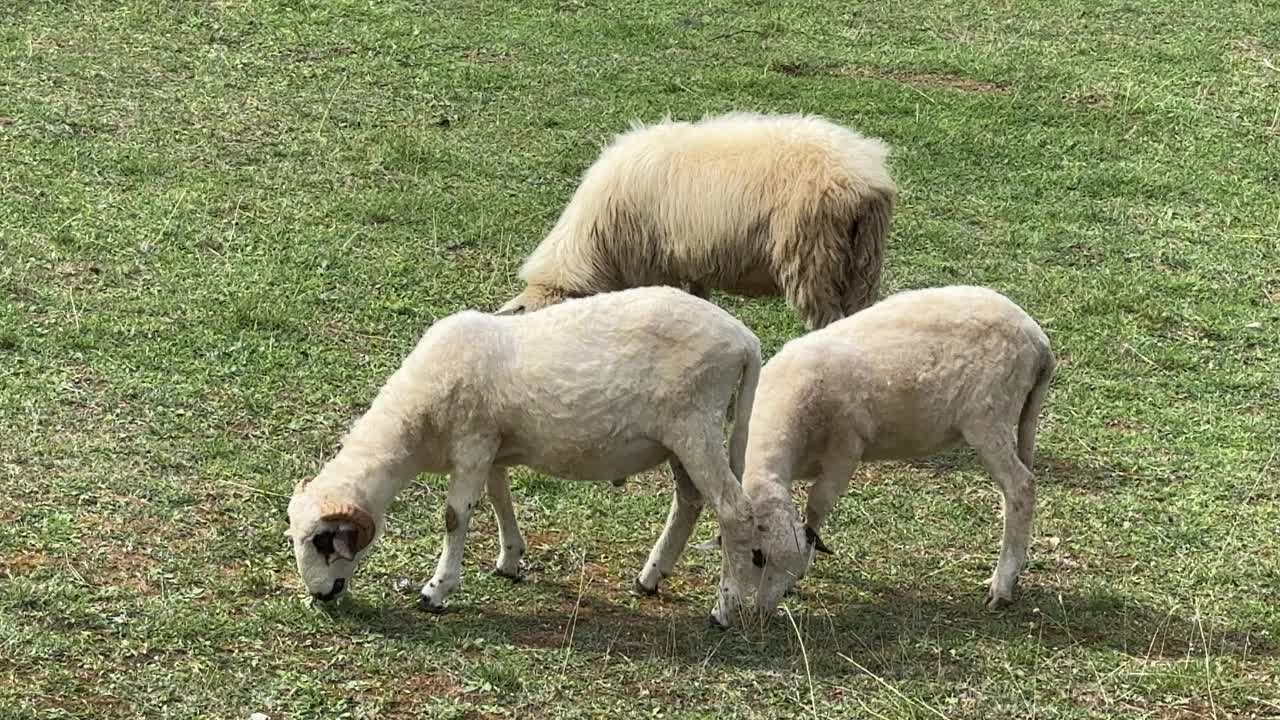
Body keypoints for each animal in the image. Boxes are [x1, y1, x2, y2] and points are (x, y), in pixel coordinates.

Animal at [285, 285, 757, 609]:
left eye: (323, 543)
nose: (321, 597)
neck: (415, 421)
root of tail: (743, 338)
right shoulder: (493, 449)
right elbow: (499, 499)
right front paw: (509, 560)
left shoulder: (473, 444)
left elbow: (454, 517)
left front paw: (436, 590)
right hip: (679, 439)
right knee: (690, 502)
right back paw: (650, 578)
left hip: (696, 427)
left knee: (733, 510)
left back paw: (725, 606)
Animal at [494, 110, 896, 330]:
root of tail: (862, 175)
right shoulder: (691, 262)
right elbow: (700, 300)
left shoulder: (651, 268)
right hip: (864, 259)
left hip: (814, 257)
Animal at [706, 283, 1054, 625]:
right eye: (757, 557)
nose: (762, 615)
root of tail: (1037, 338)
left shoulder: (845, 450)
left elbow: (817, 506)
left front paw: (806, 564)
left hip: (988, 418)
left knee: (1021, 487)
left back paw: (1002, 585)